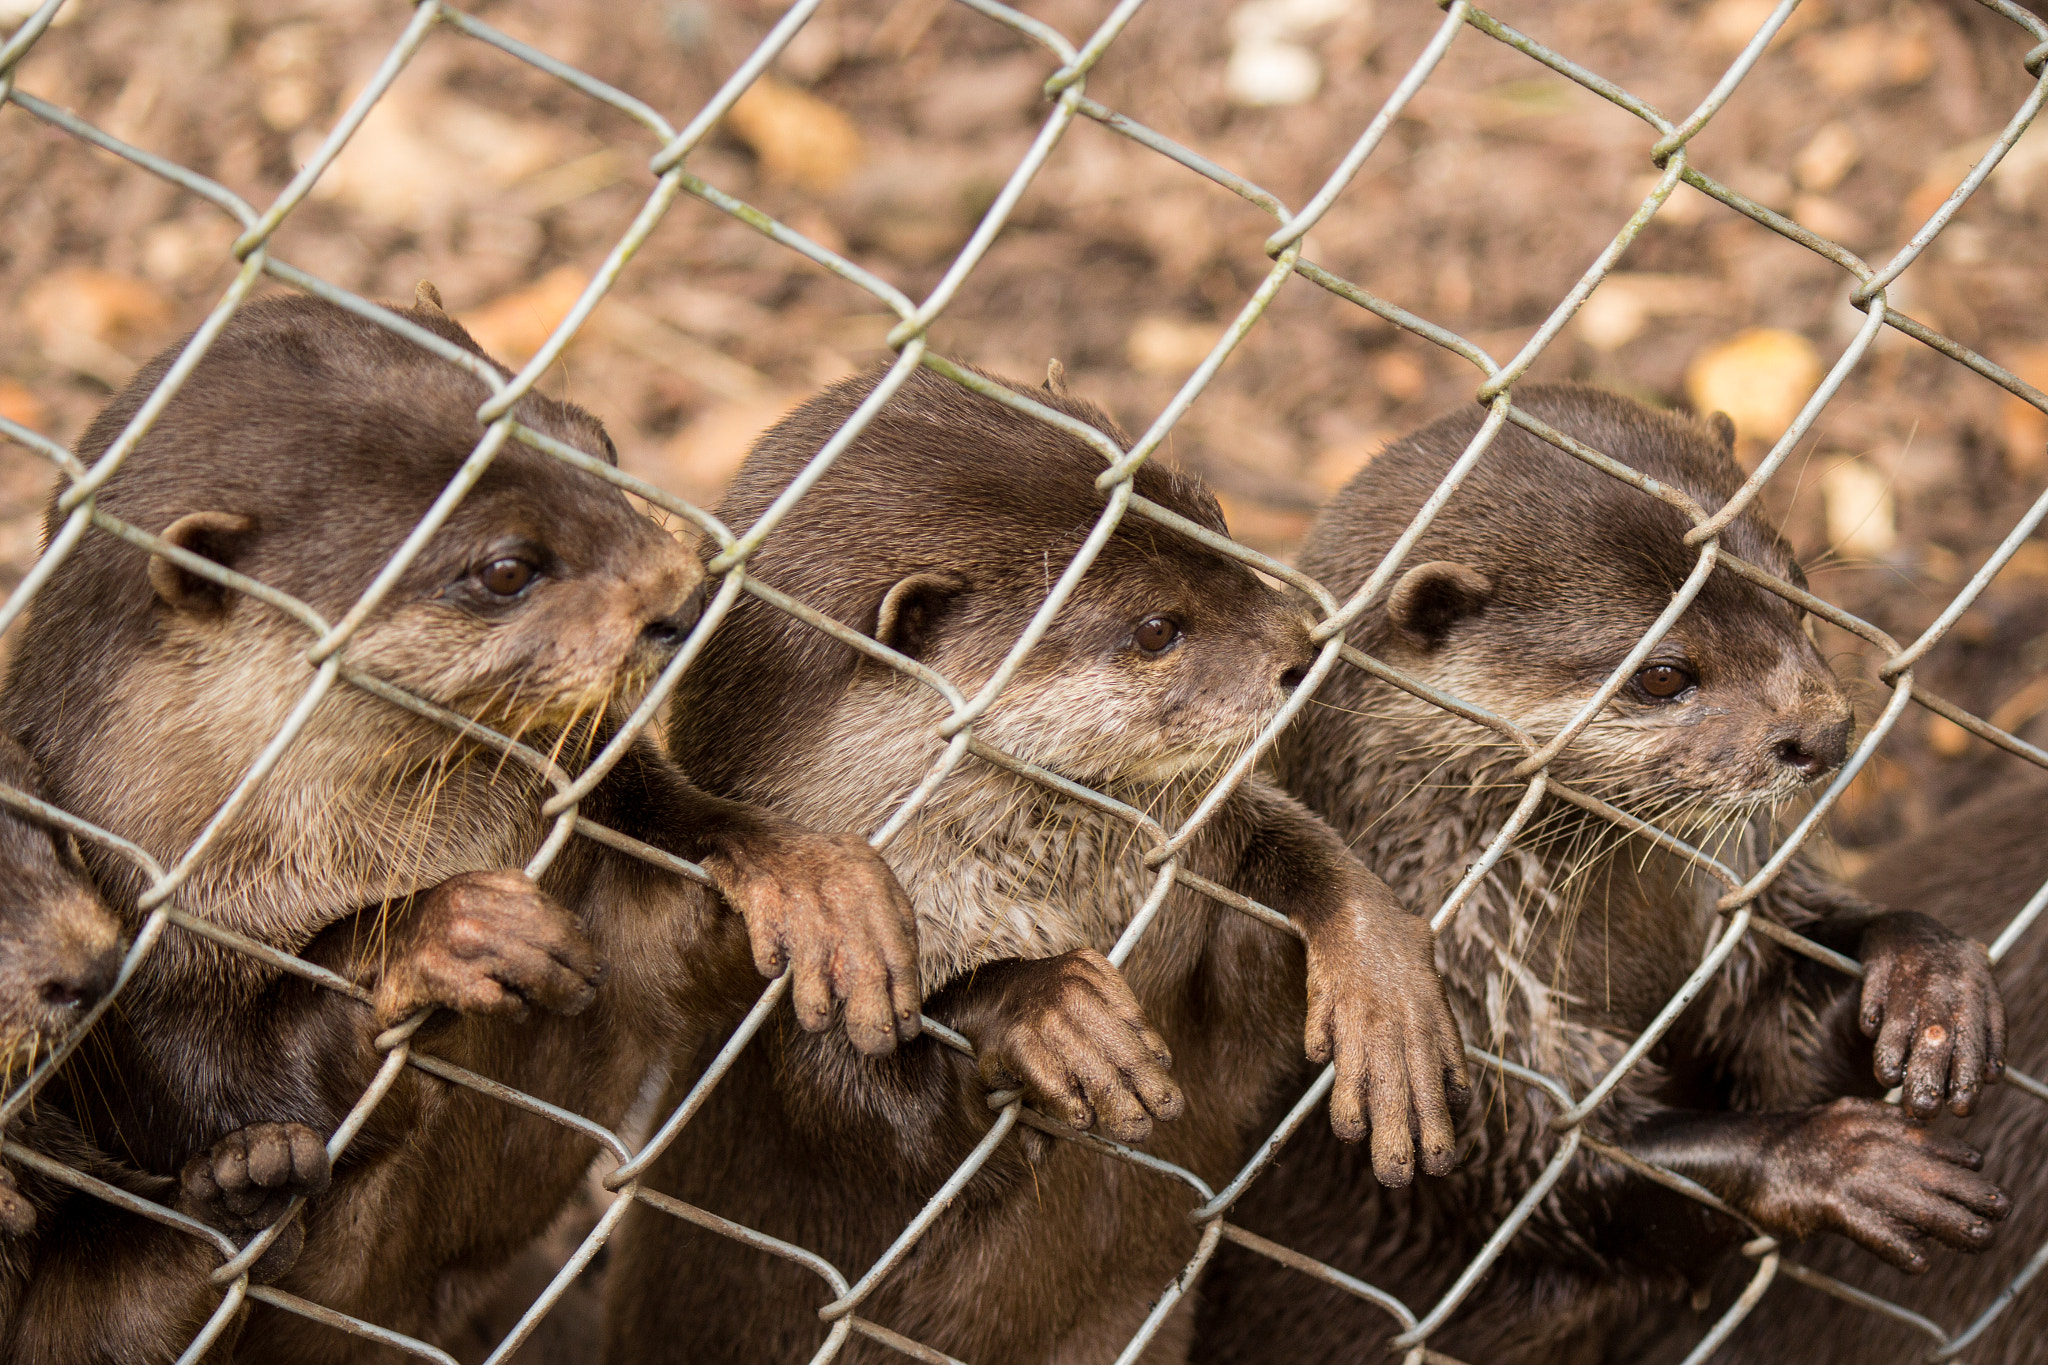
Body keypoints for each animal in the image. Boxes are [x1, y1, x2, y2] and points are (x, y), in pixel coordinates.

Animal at [2, 294, 921, 1358]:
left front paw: (816, 883)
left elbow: (677, 874)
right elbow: (209, 1079)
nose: (684, 601)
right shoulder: (131, 946)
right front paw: (446, 932)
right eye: (507, 569)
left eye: (599, 444)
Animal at [598, 362, 1466, 1365]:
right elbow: (880, 1119)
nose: (1300, 652)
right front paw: (1045, 1009)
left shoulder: (1197, 851)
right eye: (1156, 627)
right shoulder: (796, 982)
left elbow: (1295, 881)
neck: (1051, 883)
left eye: (1214, 518)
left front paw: (1384, 995)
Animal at [1196, 384, 2007, 1365]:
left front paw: (1930, 979)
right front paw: (1836, 1160)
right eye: (1662, 673)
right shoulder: (1473, 1007)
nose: (1824, 732)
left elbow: (1793, 1014)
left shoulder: (1739, 903)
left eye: (1799, 594)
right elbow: (1566, 1175)